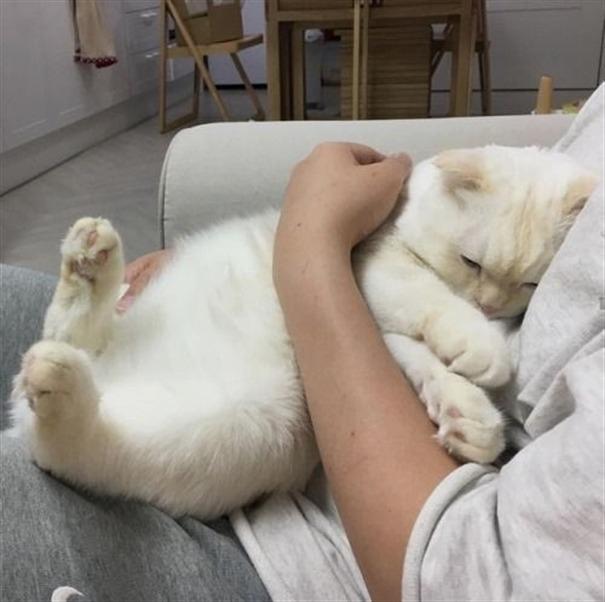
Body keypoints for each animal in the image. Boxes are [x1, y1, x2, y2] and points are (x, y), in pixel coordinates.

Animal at [9, 145, 596, 520]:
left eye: (530, 283)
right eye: (471, 262)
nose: (489, 305)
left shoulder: (376, 330)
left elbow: (427, 366)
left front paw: (469, 418)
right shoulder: (370, 268)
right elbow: (426, 299)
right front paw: (478, 344)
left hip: (247, 425)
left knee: (71, 408)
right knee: (69, 415)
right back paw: (85, 273)